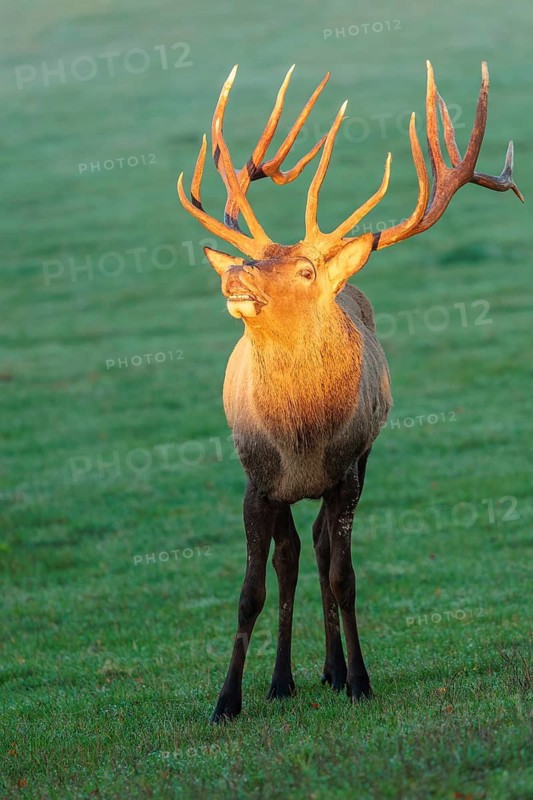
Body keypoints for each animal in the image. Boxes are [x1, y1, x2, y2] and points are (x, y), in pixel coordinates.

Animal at [177, 61, 522, 722]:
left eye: (306, 269)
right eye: (256, 259)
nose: (235, 274)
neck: (304, 438)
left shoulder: (347, 474)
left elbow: (345, 576)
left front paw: (360, 680)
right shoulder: (257, 480)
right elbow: (250, 590)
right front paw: (226, 700)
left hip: (361, 464)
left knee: (317, 550)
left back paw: (332, 670)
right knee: (290, 558)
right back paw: (284, 679)